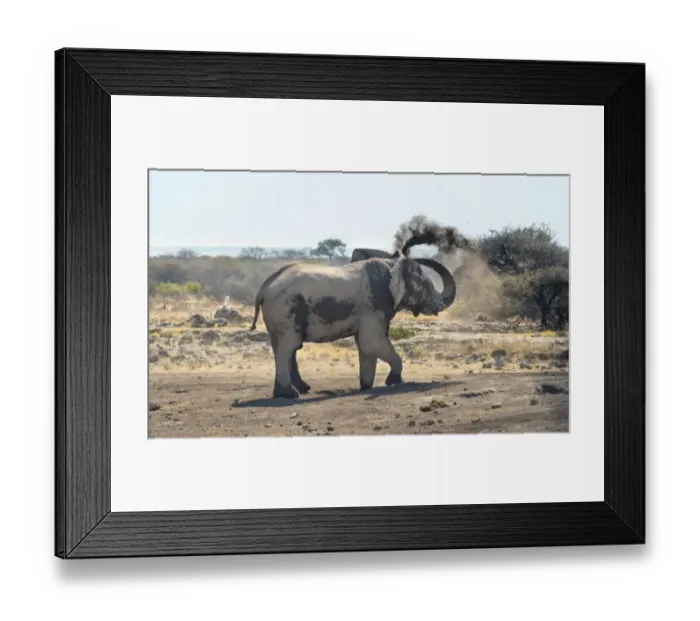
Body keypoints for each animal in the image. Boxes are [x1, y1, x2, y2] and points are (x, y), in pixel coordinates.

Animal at [249, 249, 456, 398]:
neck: (391, 264)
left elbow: (366, 346)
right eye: (425, 283)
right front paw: (393, 381)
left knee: (289, 348)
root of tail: (264, 287)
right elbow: (371, 341)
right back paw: (290, 395)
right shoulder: (374, 306)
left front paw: (366, 387)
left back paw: (302, 389)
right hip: (284, 308)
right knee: (287, 347)